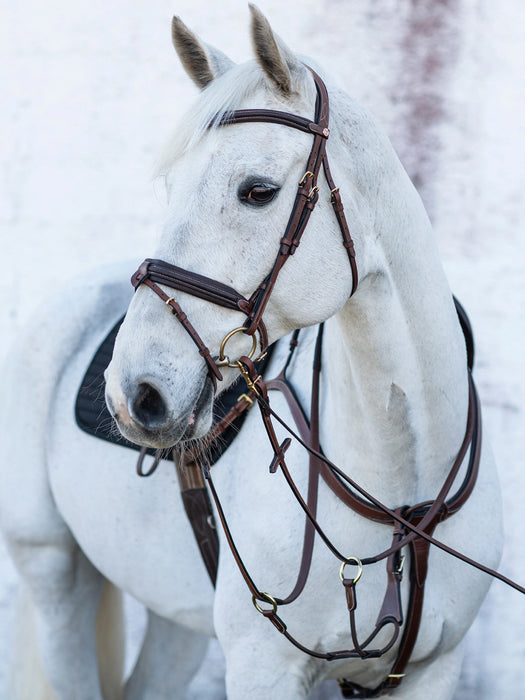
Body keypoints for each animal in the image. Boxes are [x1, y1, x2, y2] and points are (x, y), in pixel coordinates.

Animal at [0, 6, 504, 700]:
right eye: (171, 185)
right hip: (57, 578)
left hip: (175, 616)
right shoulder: (263, 666)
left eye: (258, 191)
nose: (135, 394)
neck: (403, 491)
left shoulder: (434, 669)